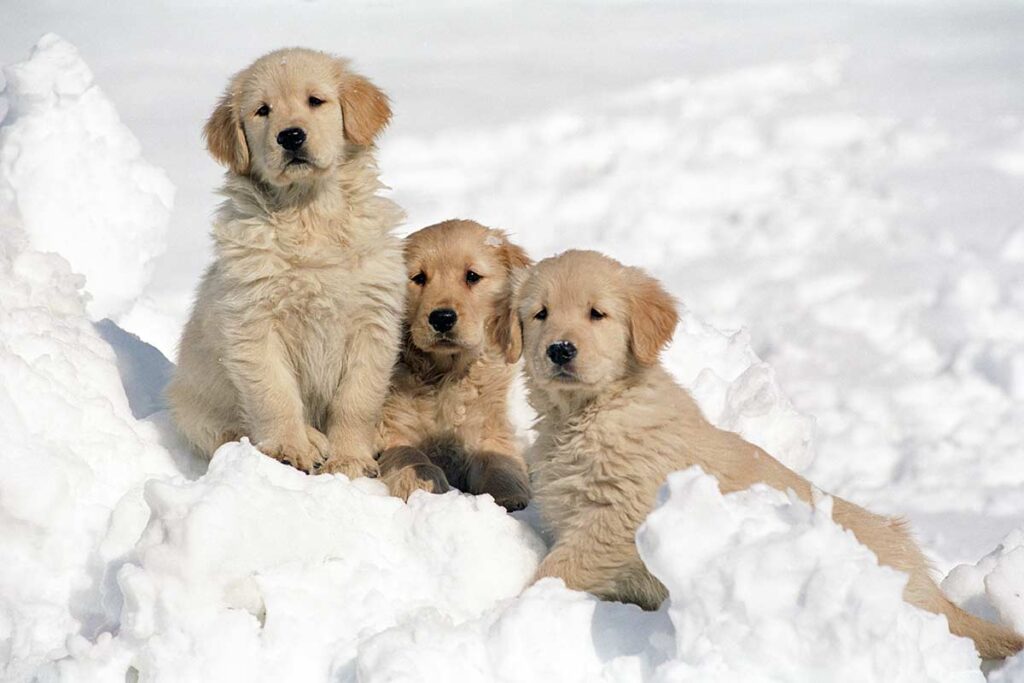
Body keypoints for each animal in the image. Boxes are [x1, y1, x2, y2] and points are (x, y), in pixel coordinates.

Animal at [167, 48, 403, 479]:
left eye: (316, 101)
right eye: (263, 110)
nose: (290, 135)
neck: (307, 212)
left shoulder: (373, 321)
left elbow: (357, 400)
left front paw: (349, 459)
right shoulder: (253, 323)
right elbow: (274, 394)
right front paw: (290, 449)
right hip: (193, 410)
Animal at [378, 220, 536, 511]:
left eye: (472, 276)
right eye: (419, 278)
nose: (442, 318)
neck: (446, 373)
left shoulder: (487, 426)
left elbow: (499, 459)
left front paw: (509, 494)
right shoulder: (390, 425)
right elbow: (408, 452)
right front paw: (420, 481)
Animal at [512, 252, 1024, 663]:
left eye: (597, 313)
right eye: (540, 314)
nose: (560, 349)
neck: (591, 412)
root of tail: (930, 590)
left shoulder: (617, 516)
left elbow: (557, 569)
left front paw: (514, 607)